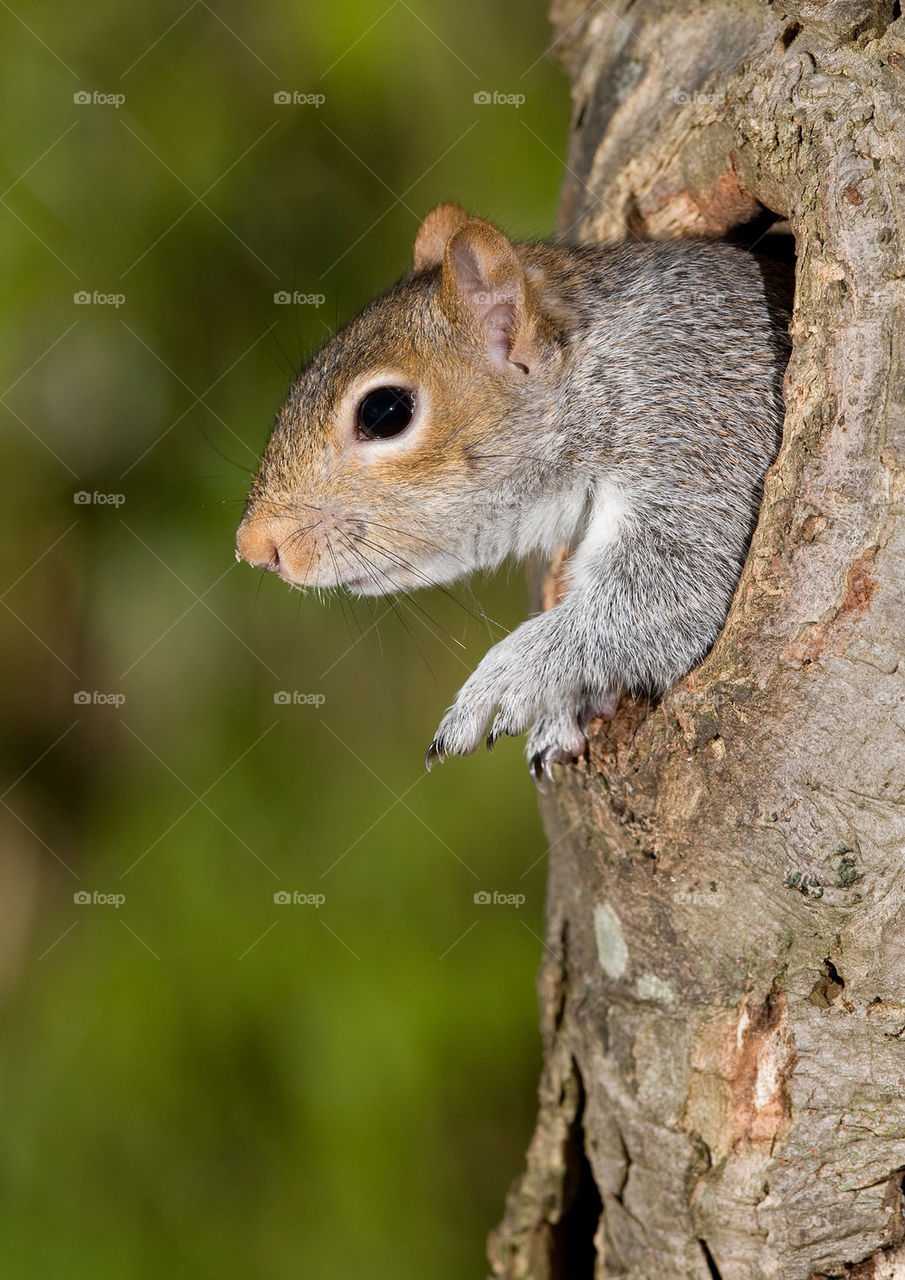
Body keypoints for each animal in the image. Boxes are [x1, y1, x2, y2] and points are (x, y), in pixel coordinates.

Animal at [236, 203, 791, 783]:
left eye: (384, 412)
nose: (253, 547)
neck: (594, 376)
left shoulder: (692, 421)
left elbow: (670, 591)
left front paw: (504, 679)